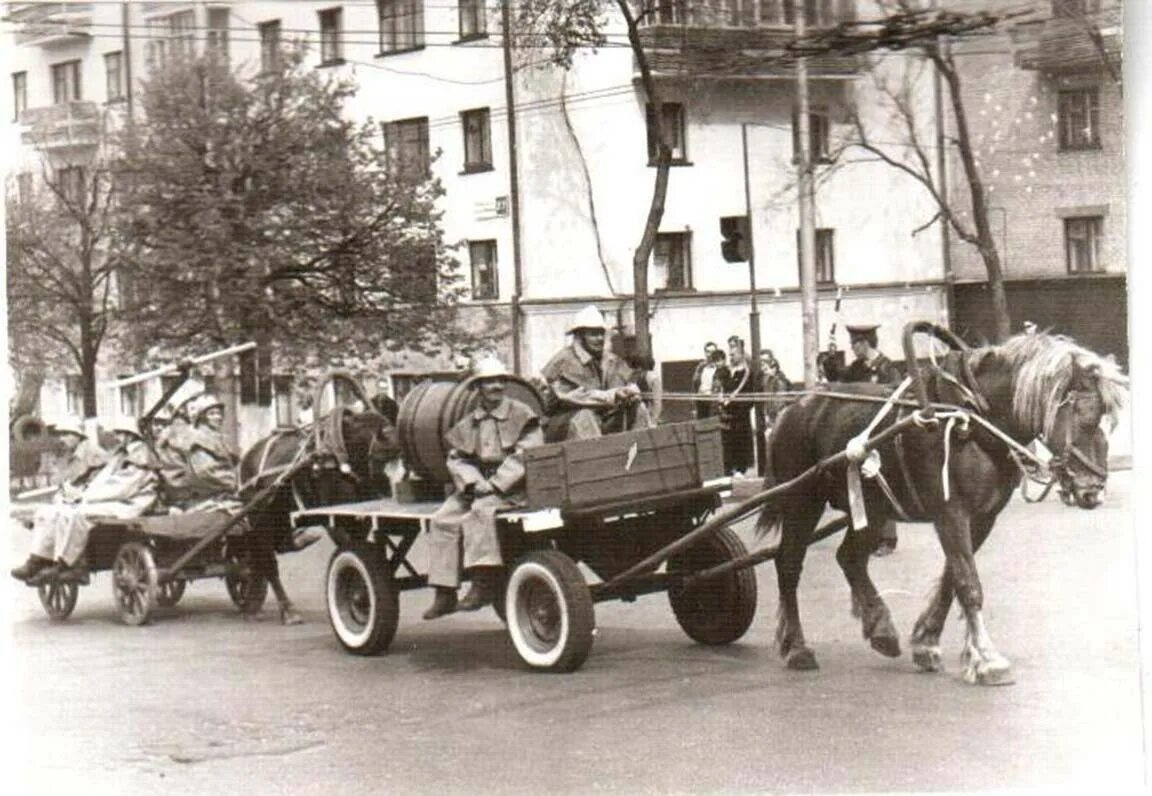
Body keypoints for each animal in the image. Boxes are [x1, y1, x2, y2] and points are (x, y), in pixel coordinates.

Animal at [755, 329, 1124, 686]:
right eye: (1087, 418)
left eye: (1109, 422)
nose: (1093, 491)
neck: (971, 417)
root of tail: (793, 408)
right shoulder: (950, 513)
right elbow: (968, 583)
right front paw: (987, 659)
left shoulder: (981, 518)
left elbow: (951, 579)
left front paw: (926, 642)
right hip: (802, 501)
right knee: (789, 564)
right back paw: (797, 647)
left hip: (872, 509)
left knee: (849, 558)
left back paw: (881, 629)